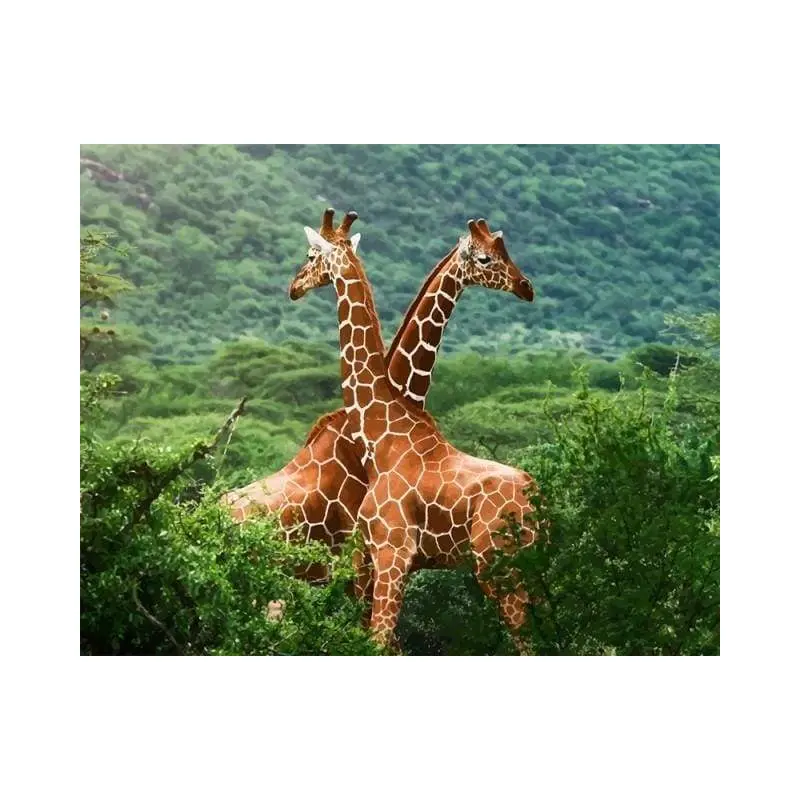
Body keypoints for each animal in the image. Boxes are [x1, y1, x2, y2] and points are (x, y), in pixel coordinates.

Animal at [289, 209, 544, 653]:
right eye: (486, 257)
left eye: (310, 255)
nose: (294, 286)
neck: (382, 431)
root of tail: (537, 501)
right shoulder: (375, 557)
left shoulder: (391, 552)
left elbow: (378, 642)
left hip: (498, 565)